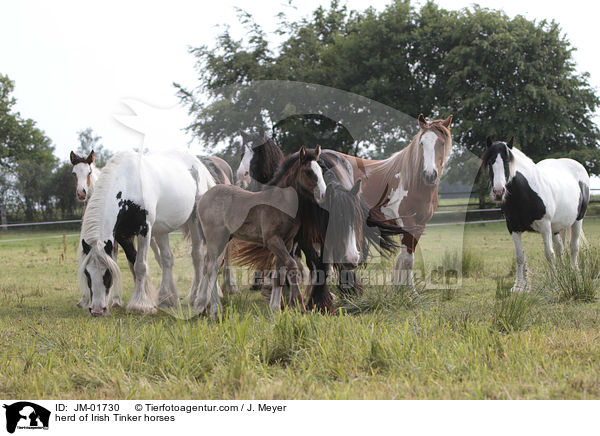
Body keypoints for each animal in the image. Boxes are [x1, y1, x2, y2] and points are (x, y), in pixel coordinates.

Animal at [76, 149, 214, 314]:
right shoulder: (124, 236)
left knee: (197, 257)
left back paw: (195, 297)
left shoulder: (144, 229)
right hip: (161, 230)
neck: (127, 184)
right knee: (167, 259)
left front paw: (140, 304)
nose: (97, 309)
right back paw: (166, 298)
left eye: (108, 273)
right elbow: (134, 262)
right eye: (87, 273)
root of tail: (198, 163)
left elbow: (140, 266)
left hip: (194, 221)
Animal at [330, 114, 452, 292]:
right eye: (422, 143)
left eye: (441, 143)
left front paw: (398, 289)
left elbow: (403, 258)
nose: (429, 174)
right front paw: (410, 293)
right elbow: (407, 260)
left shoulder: (419, 225)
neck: (411, 182)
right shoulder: (407, 223)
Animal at [480, 136, 588, 292]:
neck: (524, 193)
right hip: (556, 228)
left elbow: (549, 254)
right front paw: (518, 287)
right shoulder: (513, 227)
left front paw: (553, 284)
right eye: (490, 162)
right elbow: (519, 256)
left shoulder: (545, 226)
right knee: (560, 249)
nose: (499, 192)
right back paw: (564, 275)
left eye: (507, 161)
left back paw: (574, 275)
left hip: (577, 221)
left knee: (573, 248)